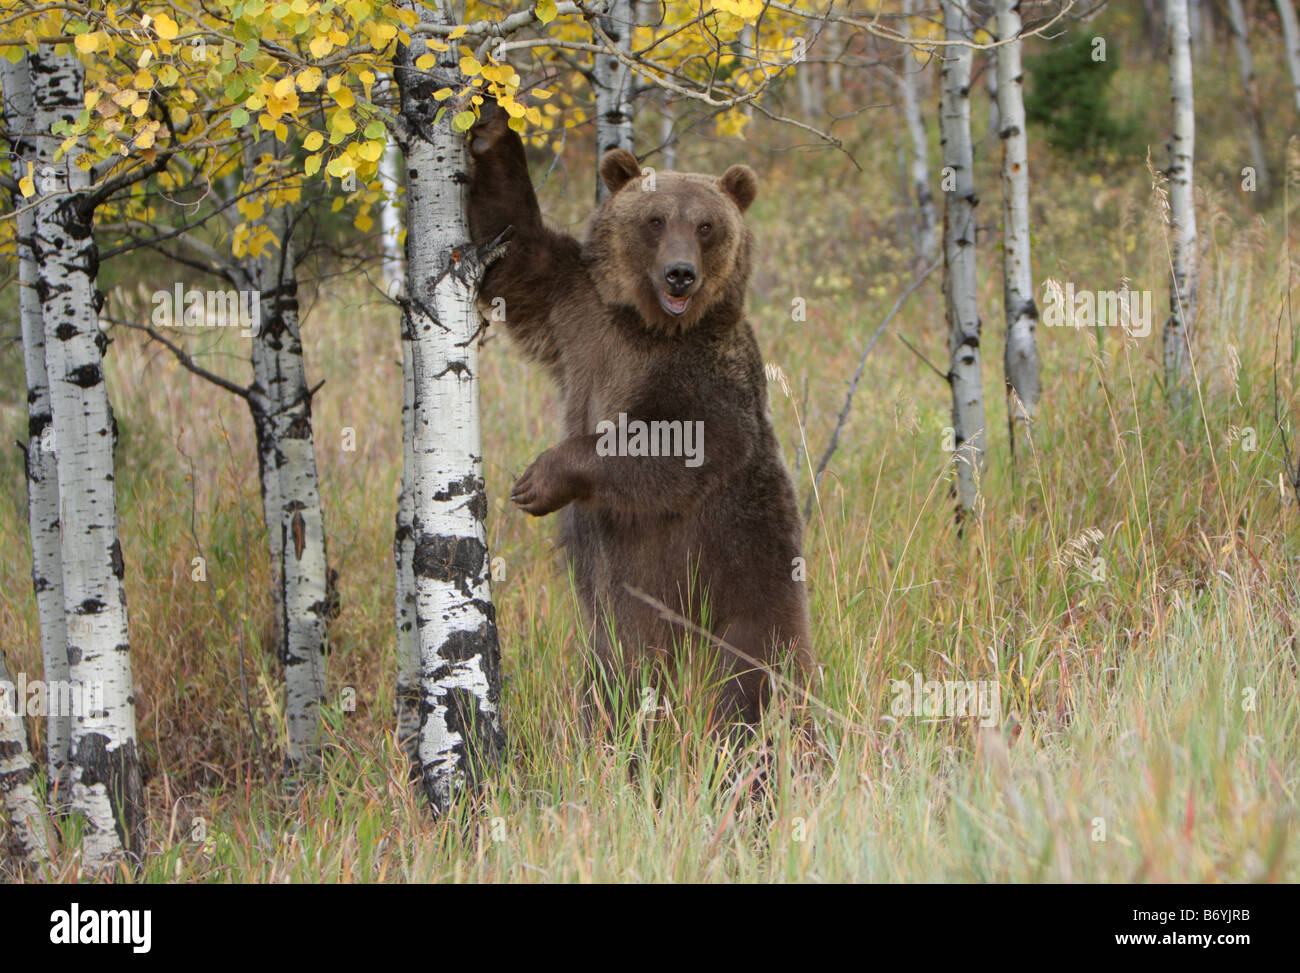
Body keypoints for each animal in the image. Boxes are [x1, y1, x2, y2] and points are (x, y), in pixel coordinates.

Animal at [467, 108, 811, 728]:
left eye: (706, 226)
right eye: (655, 219)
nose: (680, 274)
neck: (651, 326)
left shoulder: (709, 379)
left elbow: (674, 449)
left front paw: (537, 480)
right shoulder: (578, 311)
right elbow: (515, 251)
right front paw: (492, 128)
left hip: (744, 574)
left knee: (757, 673)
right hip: (623, 631)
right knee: (615, 675)